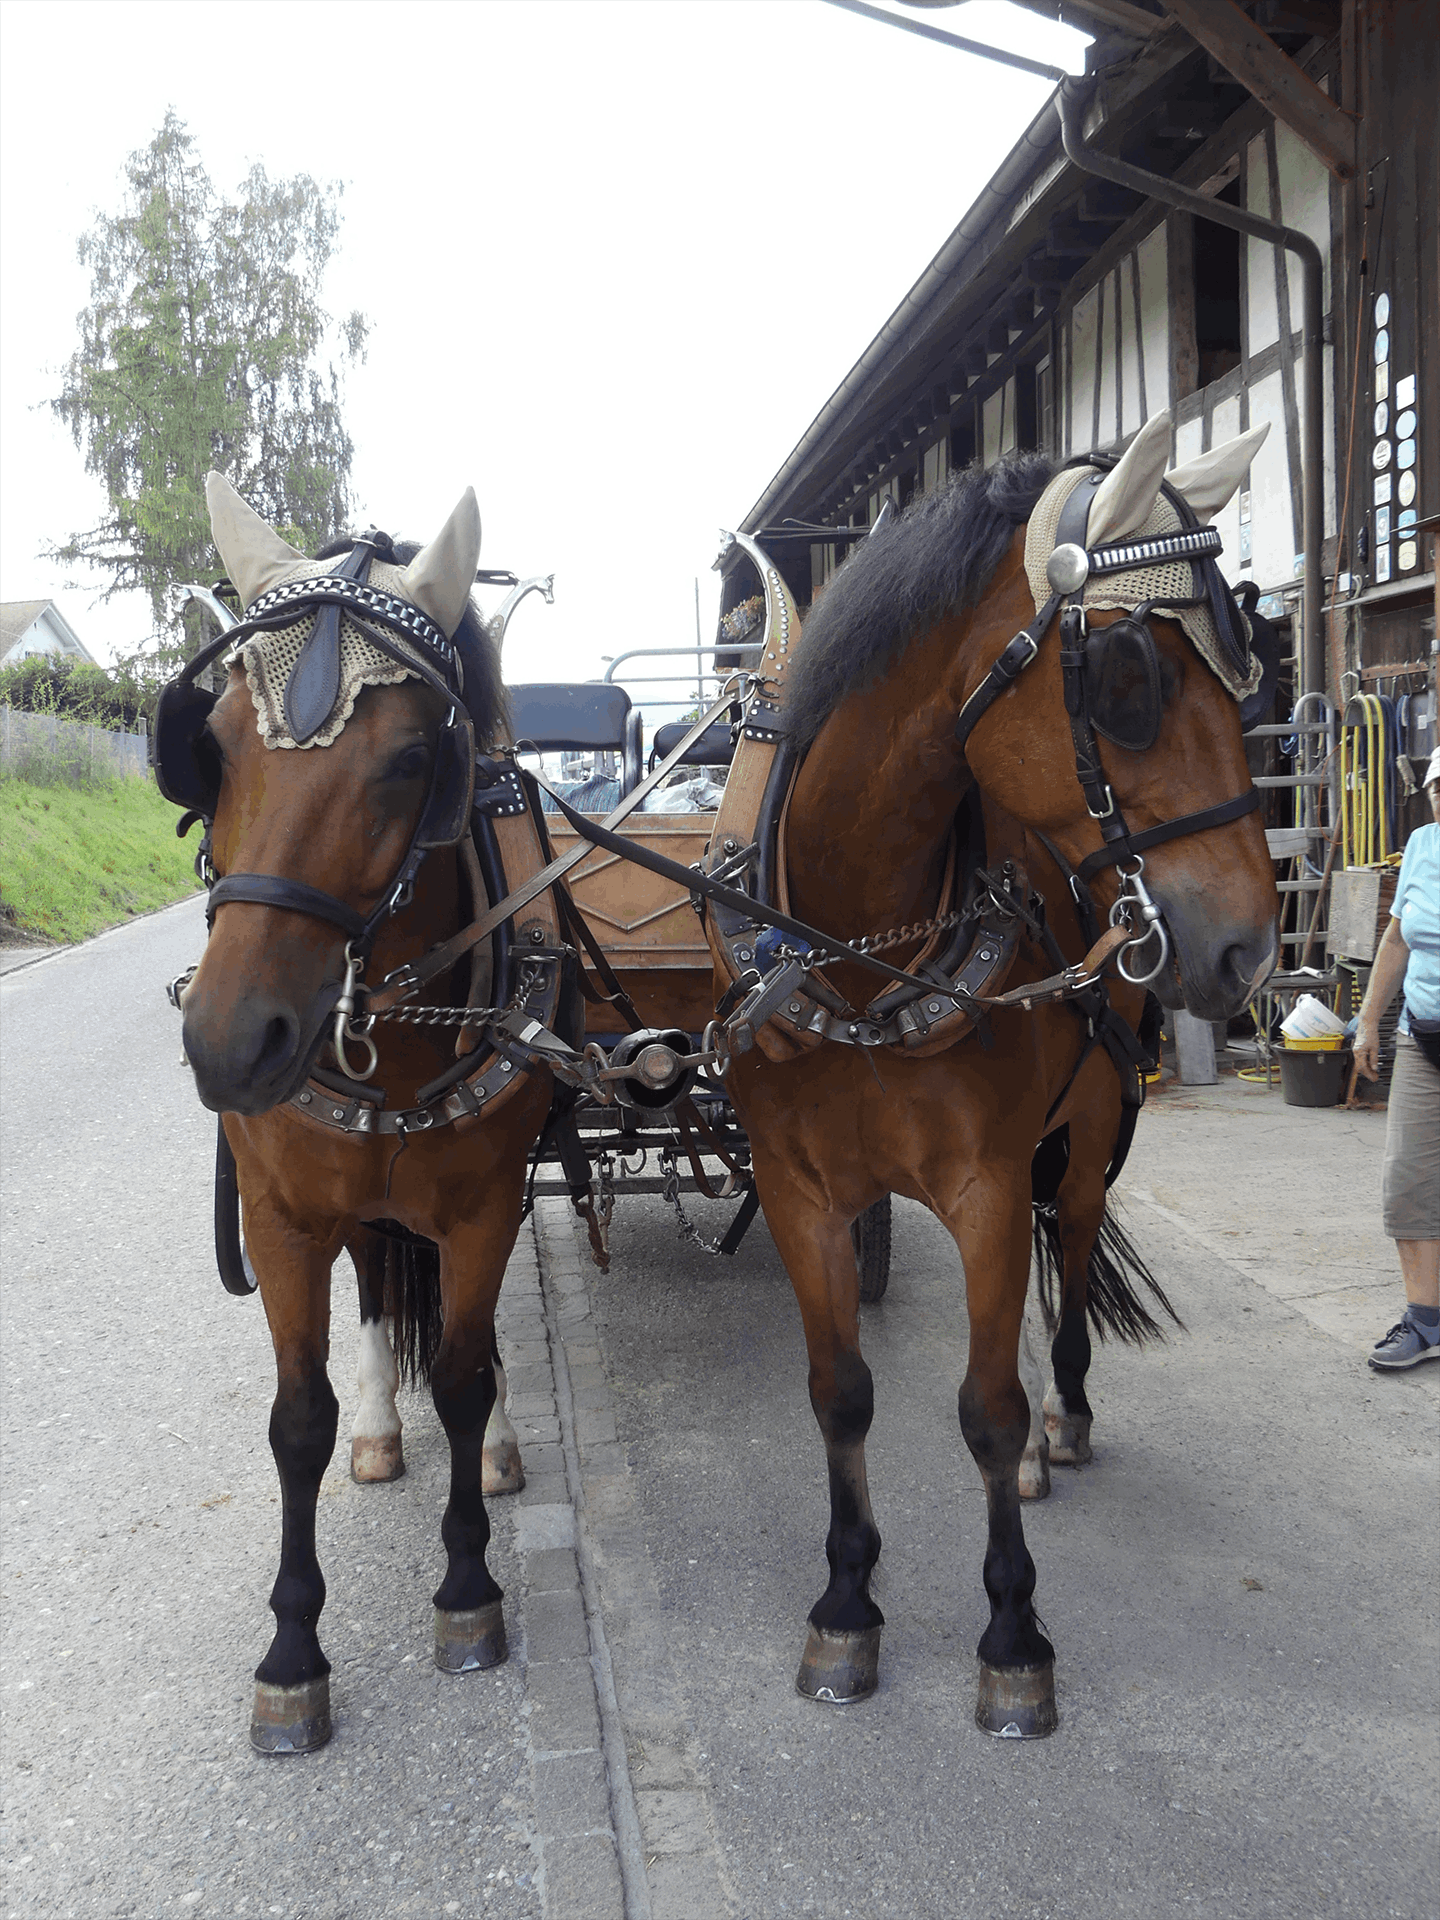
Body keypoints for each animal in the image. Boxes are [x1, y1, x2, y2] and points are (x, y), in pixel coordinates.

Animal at [161, 476, 562, 1754]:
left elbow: (472, 1374)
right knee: (382, 1287)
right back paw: (385, 1423)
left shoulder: (484, 1206)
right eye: (213, 746)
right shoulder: (284, 1220)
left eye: (410, 760)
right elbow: (299, 1418)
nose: (231, 1041)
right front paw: (292, 1654)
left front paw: (469, 1589)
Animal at [704, 409, 1277, 1734]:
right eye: (1129, 677)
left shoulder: (981, 1184)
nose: (1248, 948)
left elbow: (982, 1410)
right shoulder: (801, 1193)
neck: (857, 949)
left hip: (1087, 1126)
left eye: (1254, 661)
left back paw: (1062, 1419)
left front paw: (1014, 1632)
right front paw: (846, 1608)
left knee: (1068, 1240)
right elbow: (840, 1393)